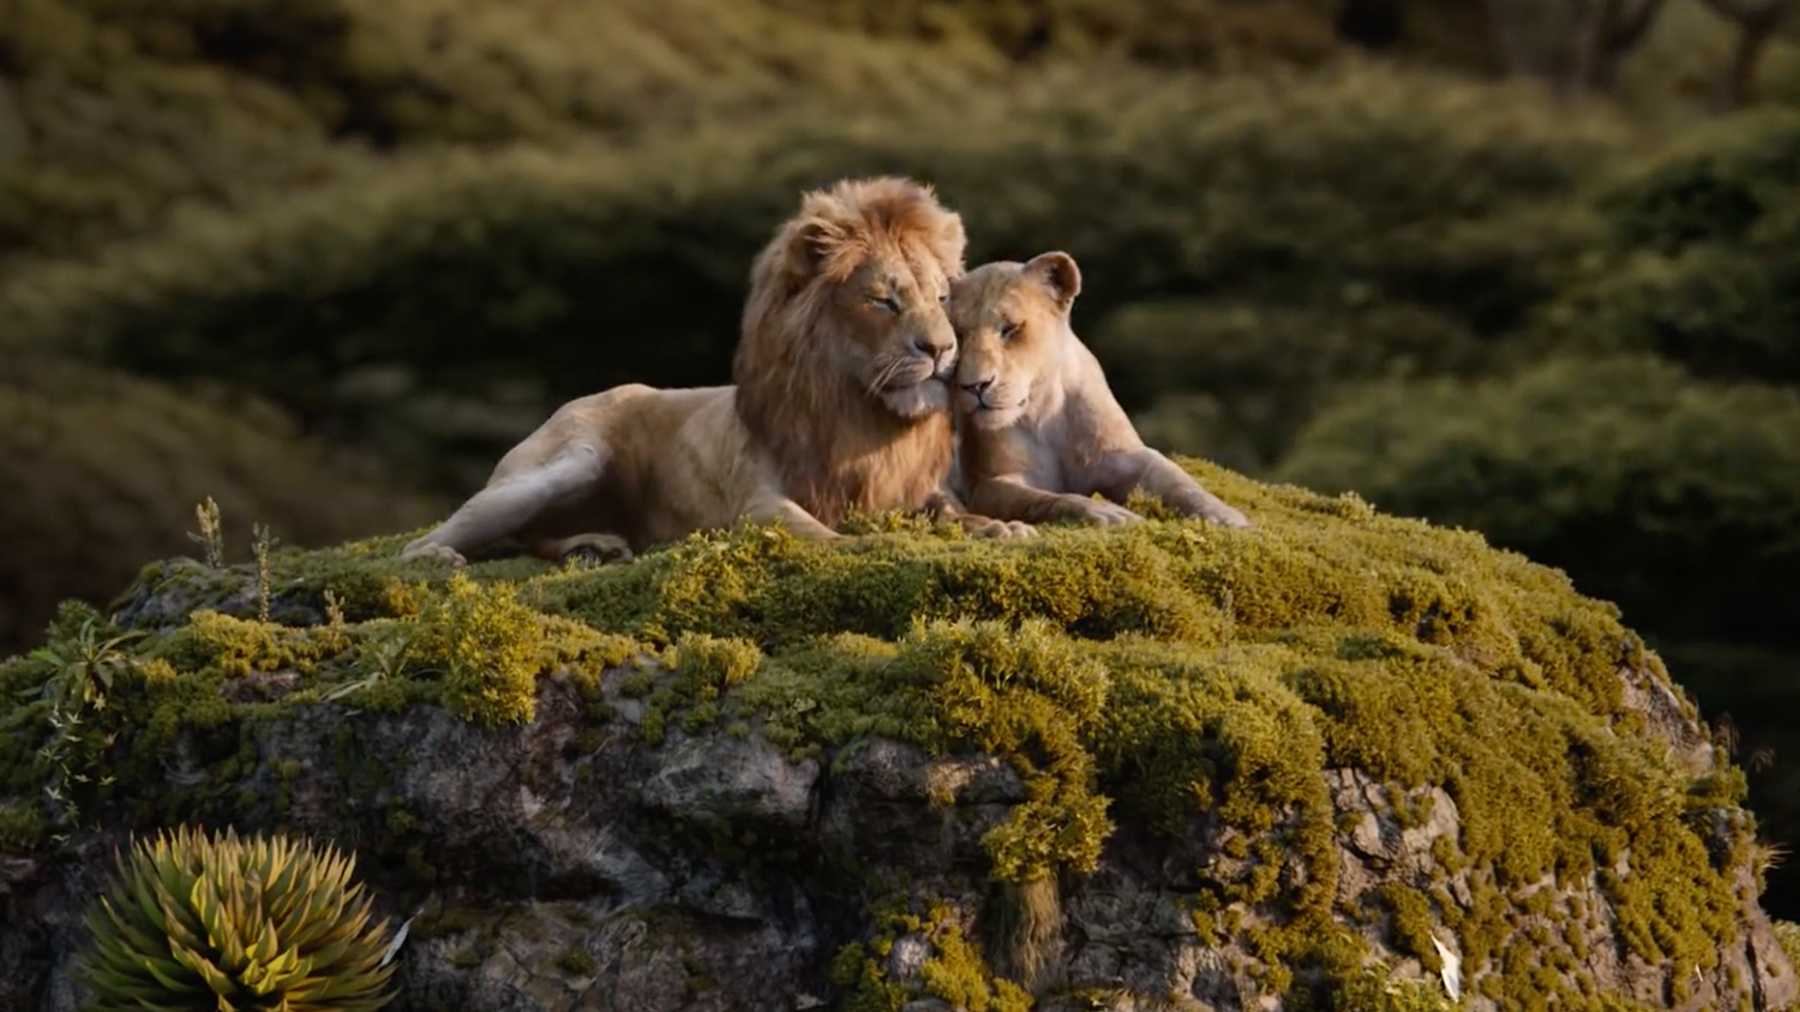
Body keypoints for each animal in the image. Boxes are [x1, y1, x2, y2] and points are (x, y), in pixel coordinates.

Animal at [401, 177, 1025, 567]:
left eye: (942, 297)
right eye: (883, 301)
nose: (942, 350)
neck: (861, 412)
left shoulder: (913, 489)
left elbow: (953, 511)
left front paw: (1001, 527)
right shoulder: (755, 503)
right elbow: (817, 531)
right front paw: (863, 546)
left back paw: (596, 546)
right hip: (571, 460)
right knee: (464, 530)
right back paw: (435, 555)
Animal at [947, 251, 1251, 529]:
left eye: (1009, 329)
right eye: (958, 335)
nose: (975, 385)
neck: (1043, 411)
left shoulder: (1124, 456)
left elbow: (1177, 480)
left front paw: (1228, 517)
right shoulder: (987, 484)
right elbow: (1048, 499)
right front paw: (1108, 513)